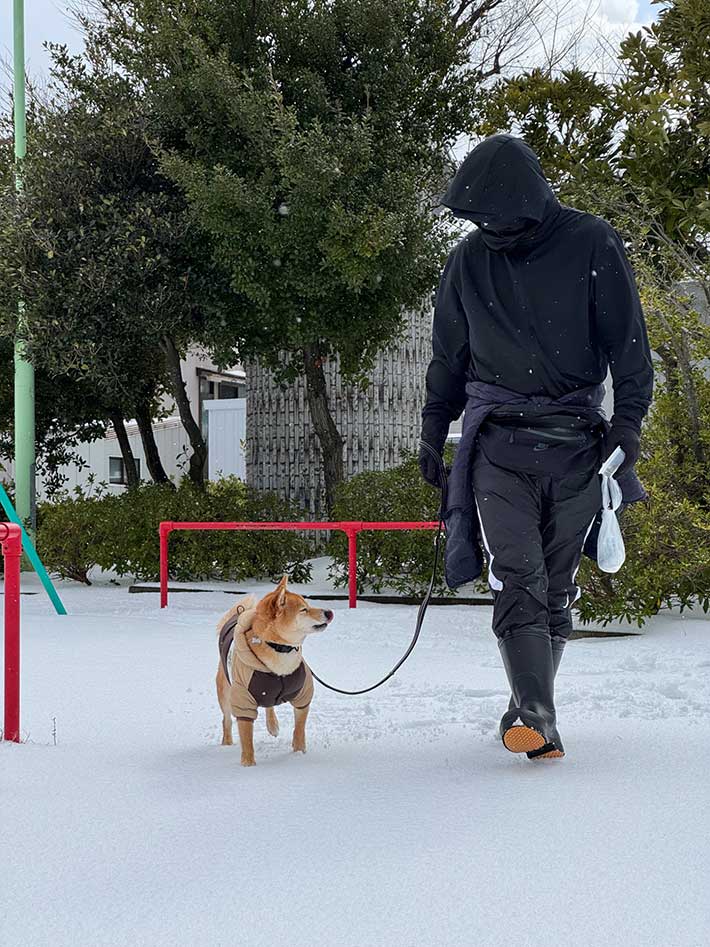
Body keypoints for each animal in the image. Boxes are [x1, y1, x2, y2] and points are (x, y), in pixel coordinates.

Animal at [216, 572, 336, 768]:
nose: (329, 612)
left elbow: (299, 729)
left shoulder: (303, 695)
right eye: (303, 610)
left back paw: (272, 725)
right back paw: (226, 743)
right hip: (225, 691)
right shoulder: (243, 699)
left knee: (269, 704)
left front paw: (299, 753)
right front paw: (248, 764)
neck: (280, 650)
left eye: (308, 605)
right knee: (226, 719)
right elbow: (246, 737)